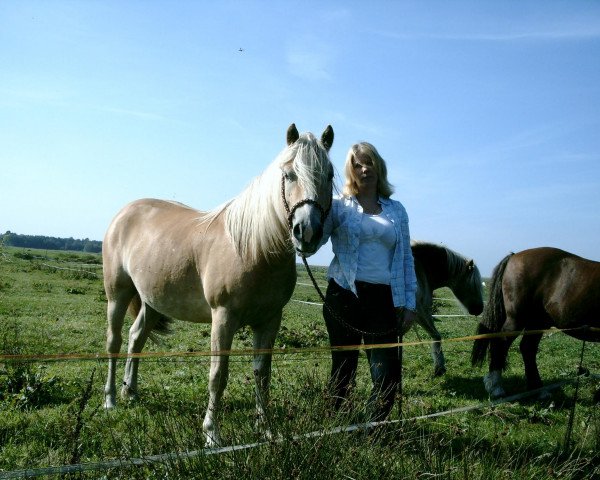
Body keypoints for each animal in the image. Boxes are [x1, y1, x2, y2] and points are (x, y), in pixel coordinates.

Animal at [102, 124, 332, 446]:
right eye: (289, 174)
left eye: (330, 175)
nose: (307, 232)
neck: (253, 248)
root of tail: (125, 212)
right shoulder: (223, 317)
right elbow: (218, 374)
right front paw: (212, 434)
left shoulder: (270, 321)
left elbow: (262, 374)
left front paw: (267, 429)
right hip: (118, 293)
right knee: (114, 341)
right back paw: (110, 399)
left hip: (152, 301)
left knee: (136, 338)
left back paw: (130, 392)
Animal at [474, 246, 600, 400]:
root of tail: (513, 256)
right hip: (517, 319)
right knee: (501, 343)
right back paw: (496, 388)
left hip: (537, 322)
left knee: (527, 348)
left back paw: (538, 390)